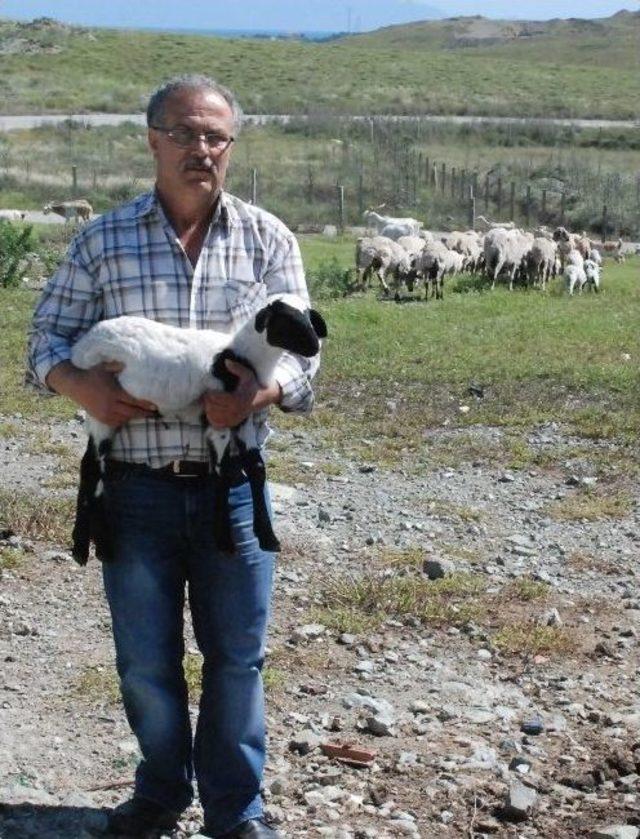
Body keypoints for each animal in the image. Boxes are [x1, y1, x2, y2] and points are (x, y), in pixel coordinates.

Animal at [69, 294, 328, 564]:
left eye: (308, 317)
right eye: (287, 321)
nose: (314, 348)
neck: (240, 356)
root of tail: (82, 347)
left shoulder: (242, 417)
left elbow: (256, 468)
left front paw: (268, 537)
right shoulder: (218, 419)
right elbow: (222, 474)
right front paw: (224, 540)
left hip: (108, 416)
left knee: (91, 466)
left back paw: (93, 546)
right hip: (102, 404)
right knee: (92, 467)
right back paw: (89, 546)